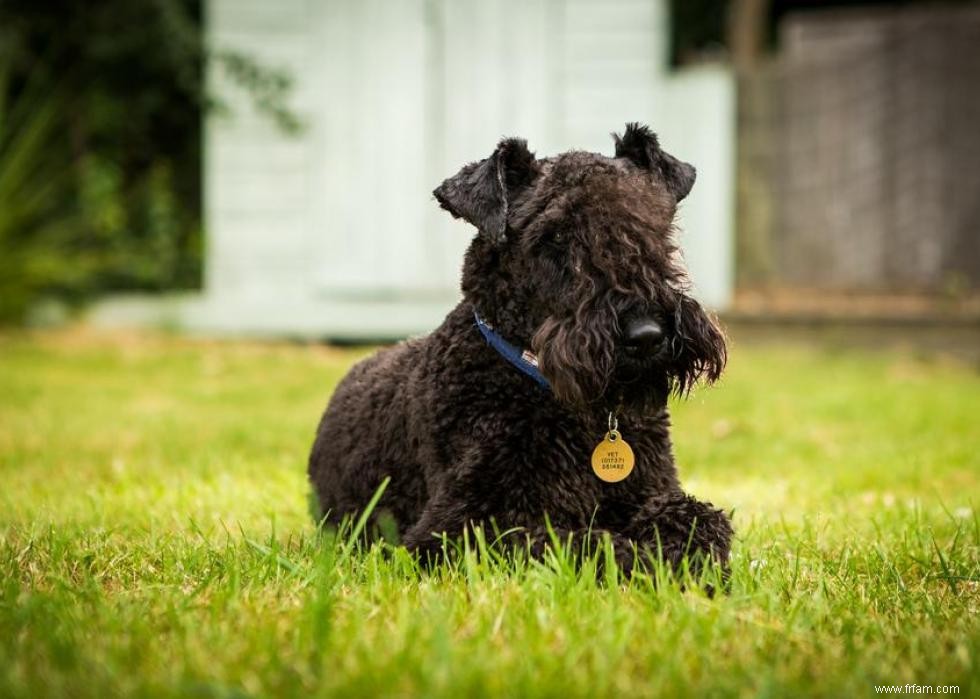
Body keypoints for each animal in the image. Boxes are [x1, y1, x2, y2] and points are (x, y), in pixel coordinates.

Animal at [310, 124, 732, 576]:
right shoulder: (453, 530)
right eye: (555, 236)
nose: (647, 335)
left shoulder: (654, 489)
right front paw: (649, 561)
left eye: (654, 225)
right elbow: (578, 544)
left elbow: (702, 521)